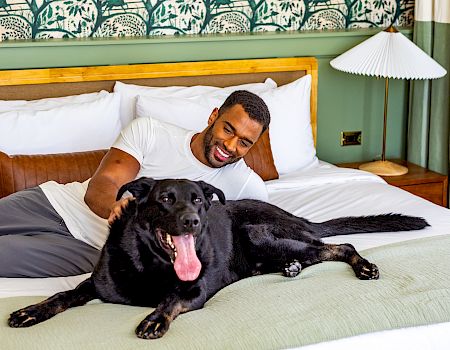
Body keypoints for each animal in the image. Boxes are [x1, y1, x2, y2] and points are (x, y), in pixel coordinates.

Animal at [7, 178, 428, 340]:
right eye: (165, 199)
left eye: (197, 199)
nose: (194, 220)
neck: (151, 264)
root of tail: (296, 216)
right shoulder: (94, 284)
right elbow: (61, 295)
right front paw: (30, 311)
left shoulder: (193, 291)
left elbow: (171, 300)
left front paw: (154, 318)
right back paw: (291, 269)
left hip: (260, 234)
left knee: (340, 248)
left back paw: (364, 266)